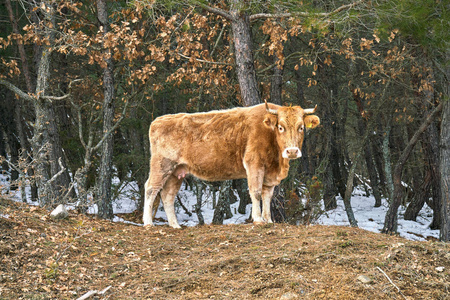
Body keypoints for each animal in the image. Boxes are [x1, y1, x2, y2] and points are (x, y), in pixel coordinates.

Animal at [144, 101, 320, 227]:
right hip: (162, 166)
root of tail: (159, 120)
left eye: (301, 127)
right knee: (151, 189)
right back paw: (148, 223)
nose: (292, 151)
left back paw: (175, 225)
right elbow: (256, 192)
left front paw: (268, 220)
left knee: (167, 196)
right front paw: (258, 219)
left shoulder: (270, 175)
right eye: (281, 127)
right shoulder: (254, 164)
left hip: (176, 172)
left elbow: (267, 196)